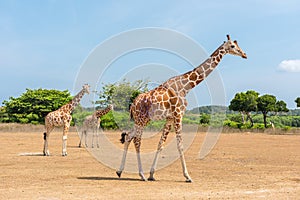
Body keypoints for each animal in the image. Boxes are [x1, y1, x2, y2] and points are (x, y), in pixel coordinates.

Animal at [116, 35, 247, 182]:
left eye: (237, 45)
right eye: (233, 46)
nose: (244, 54)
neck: (186, 86)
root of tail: (133, 104)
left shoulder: (169, 117)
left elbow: (161, 143)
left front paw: (152, 174)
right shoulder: (178, 114)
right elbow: (180, 145)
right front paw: (187, 176)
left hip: (141, 120)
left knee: (128, 137)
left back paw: (120, 171)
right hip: (141, 119)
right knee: (137, 140)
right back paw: (141, 174)